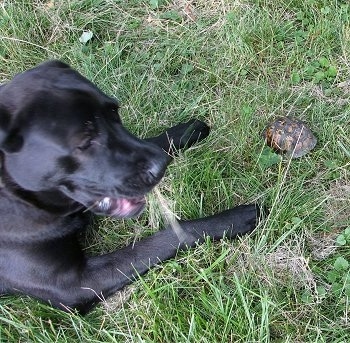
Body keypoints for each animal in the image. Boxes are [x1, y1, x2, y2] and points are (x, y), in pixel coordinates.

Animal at [0, 61, 258, 314]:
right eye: (85, 142)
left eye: (114, 111)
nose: (160, 166)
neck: (20, 197)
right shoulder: (73, 285)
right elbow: (171, 236)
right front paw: (230, 220)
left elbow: (150, 143)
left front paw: (183, 132)